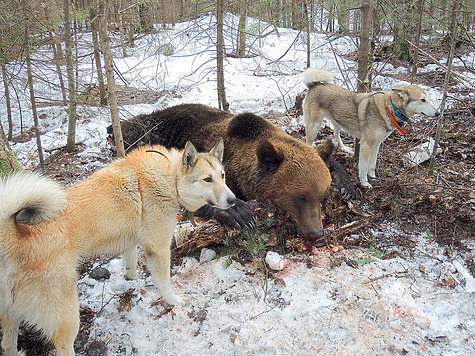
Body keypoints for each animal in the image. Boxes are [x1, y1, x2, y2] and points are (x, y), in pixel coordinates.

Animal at [109, 104, 350, 241]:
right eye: (300, 196)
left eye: (322, 195)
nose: (316, 233)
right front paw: (241, 213)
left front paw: (345, 184)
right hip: (151, 132)